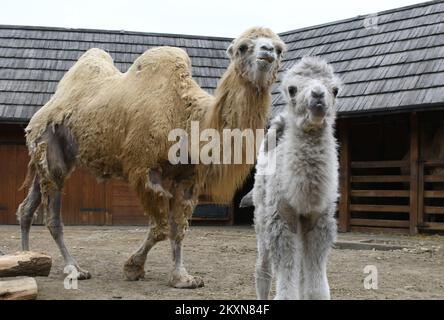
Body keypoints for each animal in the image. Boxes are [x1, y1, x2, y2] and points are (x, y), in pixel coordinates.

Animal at [241, 57, 342, 300]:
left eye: (334, 90)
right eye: (292, 89)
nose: (318, 95)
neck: (304, 198)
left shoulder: (319, 221)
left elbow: (316, 286)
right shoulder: (282, 219)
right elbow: (286, 277)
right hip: (261, 214)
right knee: (264, 268)